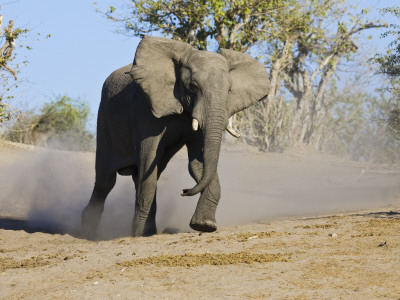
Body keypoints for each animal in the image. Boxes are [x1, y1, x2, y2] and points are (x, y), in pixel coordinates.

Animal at [80, 35, 268, 237]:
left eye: (229, 90)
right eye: (193, 86)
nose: (184, 191)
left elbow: (197, 163)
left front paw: (204, 226)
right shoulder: (146, 109)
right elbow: (148, 158)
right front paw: (140, 235)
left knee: (144, 174)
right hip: (104, 122)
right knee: (105, 180)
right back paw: (88, 232)